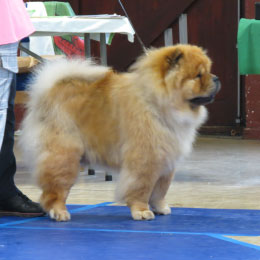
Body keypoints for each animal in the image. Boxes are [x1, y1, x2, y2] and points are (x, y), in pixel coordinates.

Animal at [19, 44, 220, 221]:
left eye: (209, 71)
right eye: (198, 76)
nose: (217, 78)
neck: (156, 103)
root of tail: (49, 90)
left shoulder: (166, 159)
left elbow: (161, 189)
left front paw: (161, 207)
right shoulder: (146, 159)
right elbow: (142, 188)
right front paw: (142, 211)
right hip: (64, 156)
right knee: (55, 191)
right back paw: (59, 212)